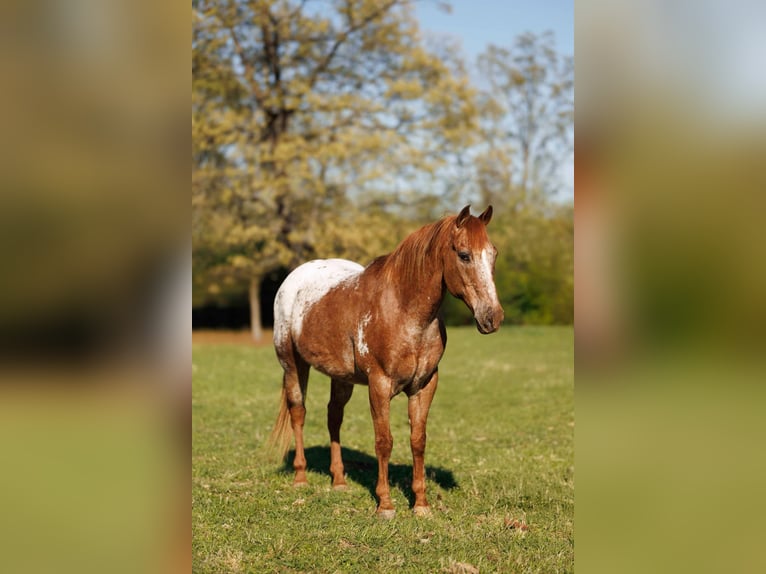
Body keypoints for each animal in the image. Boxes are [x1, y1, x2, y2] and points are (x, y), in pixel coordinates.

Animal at [269, 205, 504, 518]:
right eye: (464, 255)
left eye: (493, 253)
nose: (493, 317)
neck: (403, 311)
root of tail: (293, 278)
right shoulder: (379, 385)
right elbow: (384, 441)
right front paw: (386, 505)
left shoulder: (424, 385)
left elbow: (418, 440)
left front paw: (421, 505)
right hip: (293, 365)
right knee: (298, 413)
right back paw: (301, 478)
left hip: (341, 377)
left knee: (334, 417)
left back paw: (339, 481)